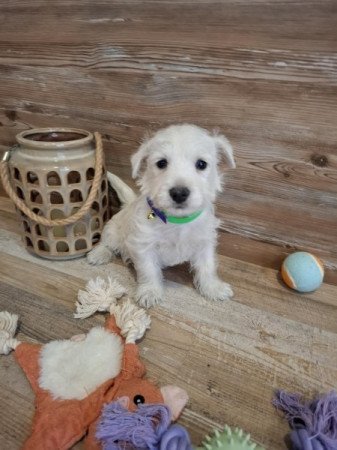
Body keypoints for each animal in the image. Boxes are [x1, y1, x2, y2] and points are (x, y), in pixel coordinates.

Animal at [88, 123, 235, 308]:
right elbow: (149, 270)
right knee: (107, 242)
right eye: (161, 163)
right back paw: (98, 254)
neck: (177, 221)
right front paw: (150, 292)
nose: (179, 193)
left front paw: (213, 288)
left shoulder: (205, 242)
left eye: (201, 164)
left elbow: (207, 267)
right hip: (113, 230)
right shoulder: (144, 245)